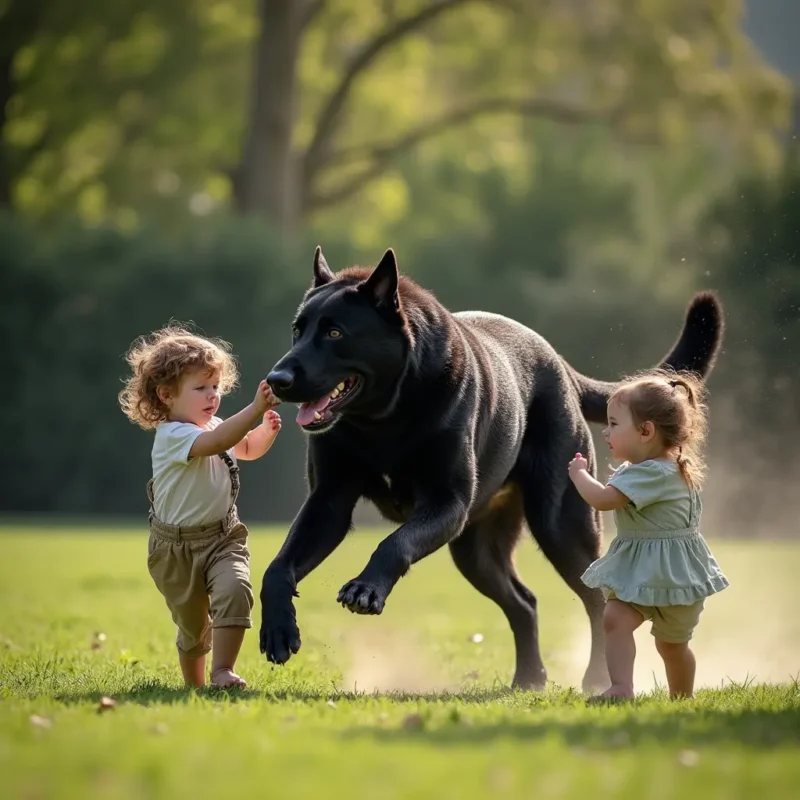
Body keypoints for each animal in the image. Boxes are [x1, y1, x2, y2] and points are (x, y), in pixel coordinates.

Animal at [260, 247, 720, 692]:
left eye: (335, 333)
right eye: (298, 331)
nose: (276, 378)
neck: (383, 418)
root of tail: (560, 364)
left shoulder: (447, 501)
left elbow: (393, 543)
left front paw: (365, 588)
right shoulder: (329, 500)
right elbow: (279, 565)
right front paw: (278, 632)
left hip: (561, 523)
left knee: (597, 601)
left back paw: (597, 679)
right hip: (476, 547)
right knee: (524, 602)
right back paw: (529, 678)